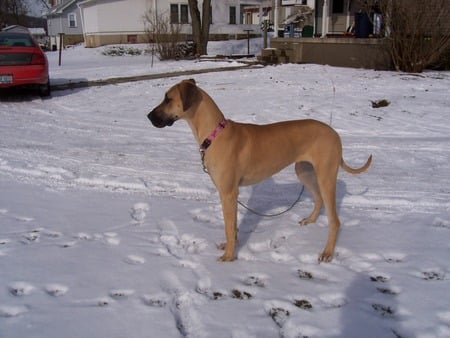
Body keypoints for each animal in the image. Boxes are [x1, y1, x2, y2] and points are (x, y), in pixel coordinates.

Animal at [146, 78, 370, 262]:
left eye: (168, 99)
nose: (148, 116)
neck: (215, 133)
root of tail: (334, 133)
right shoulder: (230, 194)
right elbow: (232, 227)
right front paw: (230, 247)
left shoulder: (228, 193)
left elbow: (228, 227)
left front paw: (228, 256)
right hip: (304, 171)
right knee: (318, 199)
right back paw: (310, 220)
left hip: (325, 176)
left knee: (335, 220)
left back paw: (327, 252)